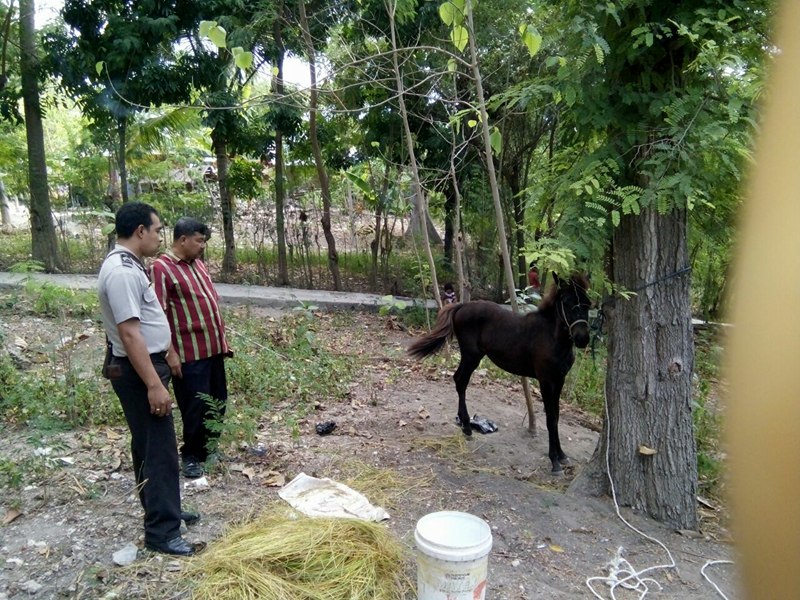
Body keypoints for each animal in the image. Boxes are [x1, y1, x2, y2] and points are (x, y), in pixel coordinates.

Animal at [410, 272, 592, 474]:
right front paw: (554, 461)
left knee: (459, 380)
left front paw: (561, 455)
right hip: (472, 356)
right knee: (461, 380)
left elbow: (557, 416)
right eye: (567, 303)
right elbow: (551, 418)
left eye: (588, 303)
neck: (552, 337)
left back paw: (466, 426)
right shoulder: (545, 380)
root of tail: (462, 305)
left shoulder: (559, 379)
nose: (582, 338)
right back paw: (467, 427)